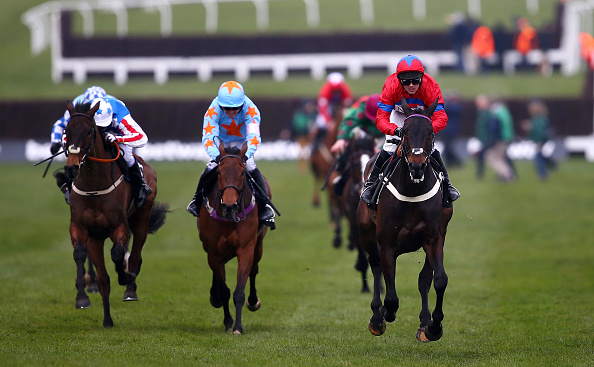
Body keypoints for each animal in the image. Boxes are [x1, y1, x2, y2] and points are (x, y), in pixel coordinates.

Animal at [64, 100, 168, 328]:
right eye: (66, 131)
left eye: (89, 131)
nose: (72, 168)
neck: (94, 186)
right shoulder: (81, 228)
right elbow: (80, 255)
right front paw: (82, 298)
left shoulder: (118, 226)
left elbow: (119, 254)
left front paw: (124, 277)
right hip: (97, 237)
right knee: (104, 277)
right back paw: (107, 319)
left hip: (142, 218)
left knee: (136, 255)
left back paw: (130, 289)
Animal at [197, 142, 268, 334]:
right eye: (219, 172)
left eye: (242, 173)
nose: (229, 206)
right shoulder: (213, 251)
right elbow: (224, 290)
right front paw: (228, 321)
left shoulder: (245, 248)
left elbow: (239, 291)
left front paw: (238, 326)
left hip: (258, 244)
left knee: (254, 270)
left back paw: (253, 301)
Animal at [356, 98, 454, 342]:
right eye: (406, 132)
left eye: (431, 132)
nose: (417, 164)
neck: (412, 189)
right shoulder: (387, 242)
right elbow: (390, 294)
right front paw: (384, 314)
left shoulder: (434, 238)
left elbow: (438, 280)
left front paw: (433, 326)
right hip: (367, 234)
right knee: (376, 267)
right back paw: (377, 317)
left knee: (424, 279)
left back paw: (424, 324)